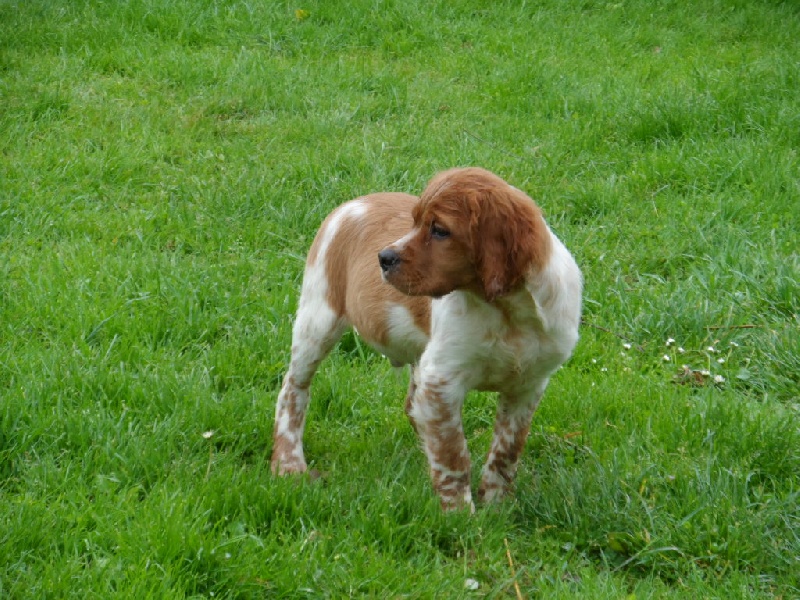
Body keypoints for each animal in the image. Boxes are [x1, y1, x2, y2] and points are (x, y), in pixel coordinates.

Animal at [270, 166, 580, 508]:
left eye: (440, 230)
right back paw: (288, 465)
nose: (383, 257)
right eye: (415, 221)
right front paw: (460, 513)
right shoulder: (441, 379)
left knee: (413, 407)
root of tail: (352, 203)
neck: (507, 312)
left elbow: (506, 451)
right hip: (318, 318)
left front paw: (496, 505)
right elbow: (453, 453)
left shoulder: (528, 385)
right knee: (293, 391)